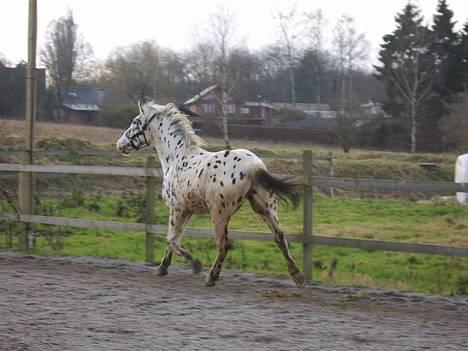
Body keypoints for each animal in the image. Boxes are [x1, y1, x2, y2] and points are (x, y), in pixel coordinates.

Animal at [116, 102, 306, 288]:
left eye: (135, 122)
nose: (120, 144)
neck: (177, 157)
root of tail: (253, 167)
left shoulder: (177, 208)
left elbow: (171, 239)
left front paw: (195, 265)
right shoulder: (187, 211)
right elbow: (175, 238)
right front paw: (162, 268)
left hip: (219, 214)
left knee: (223, 245)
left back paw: (210, 278)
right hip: (265, 208)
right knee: (279, 237)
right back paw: (298, 277)